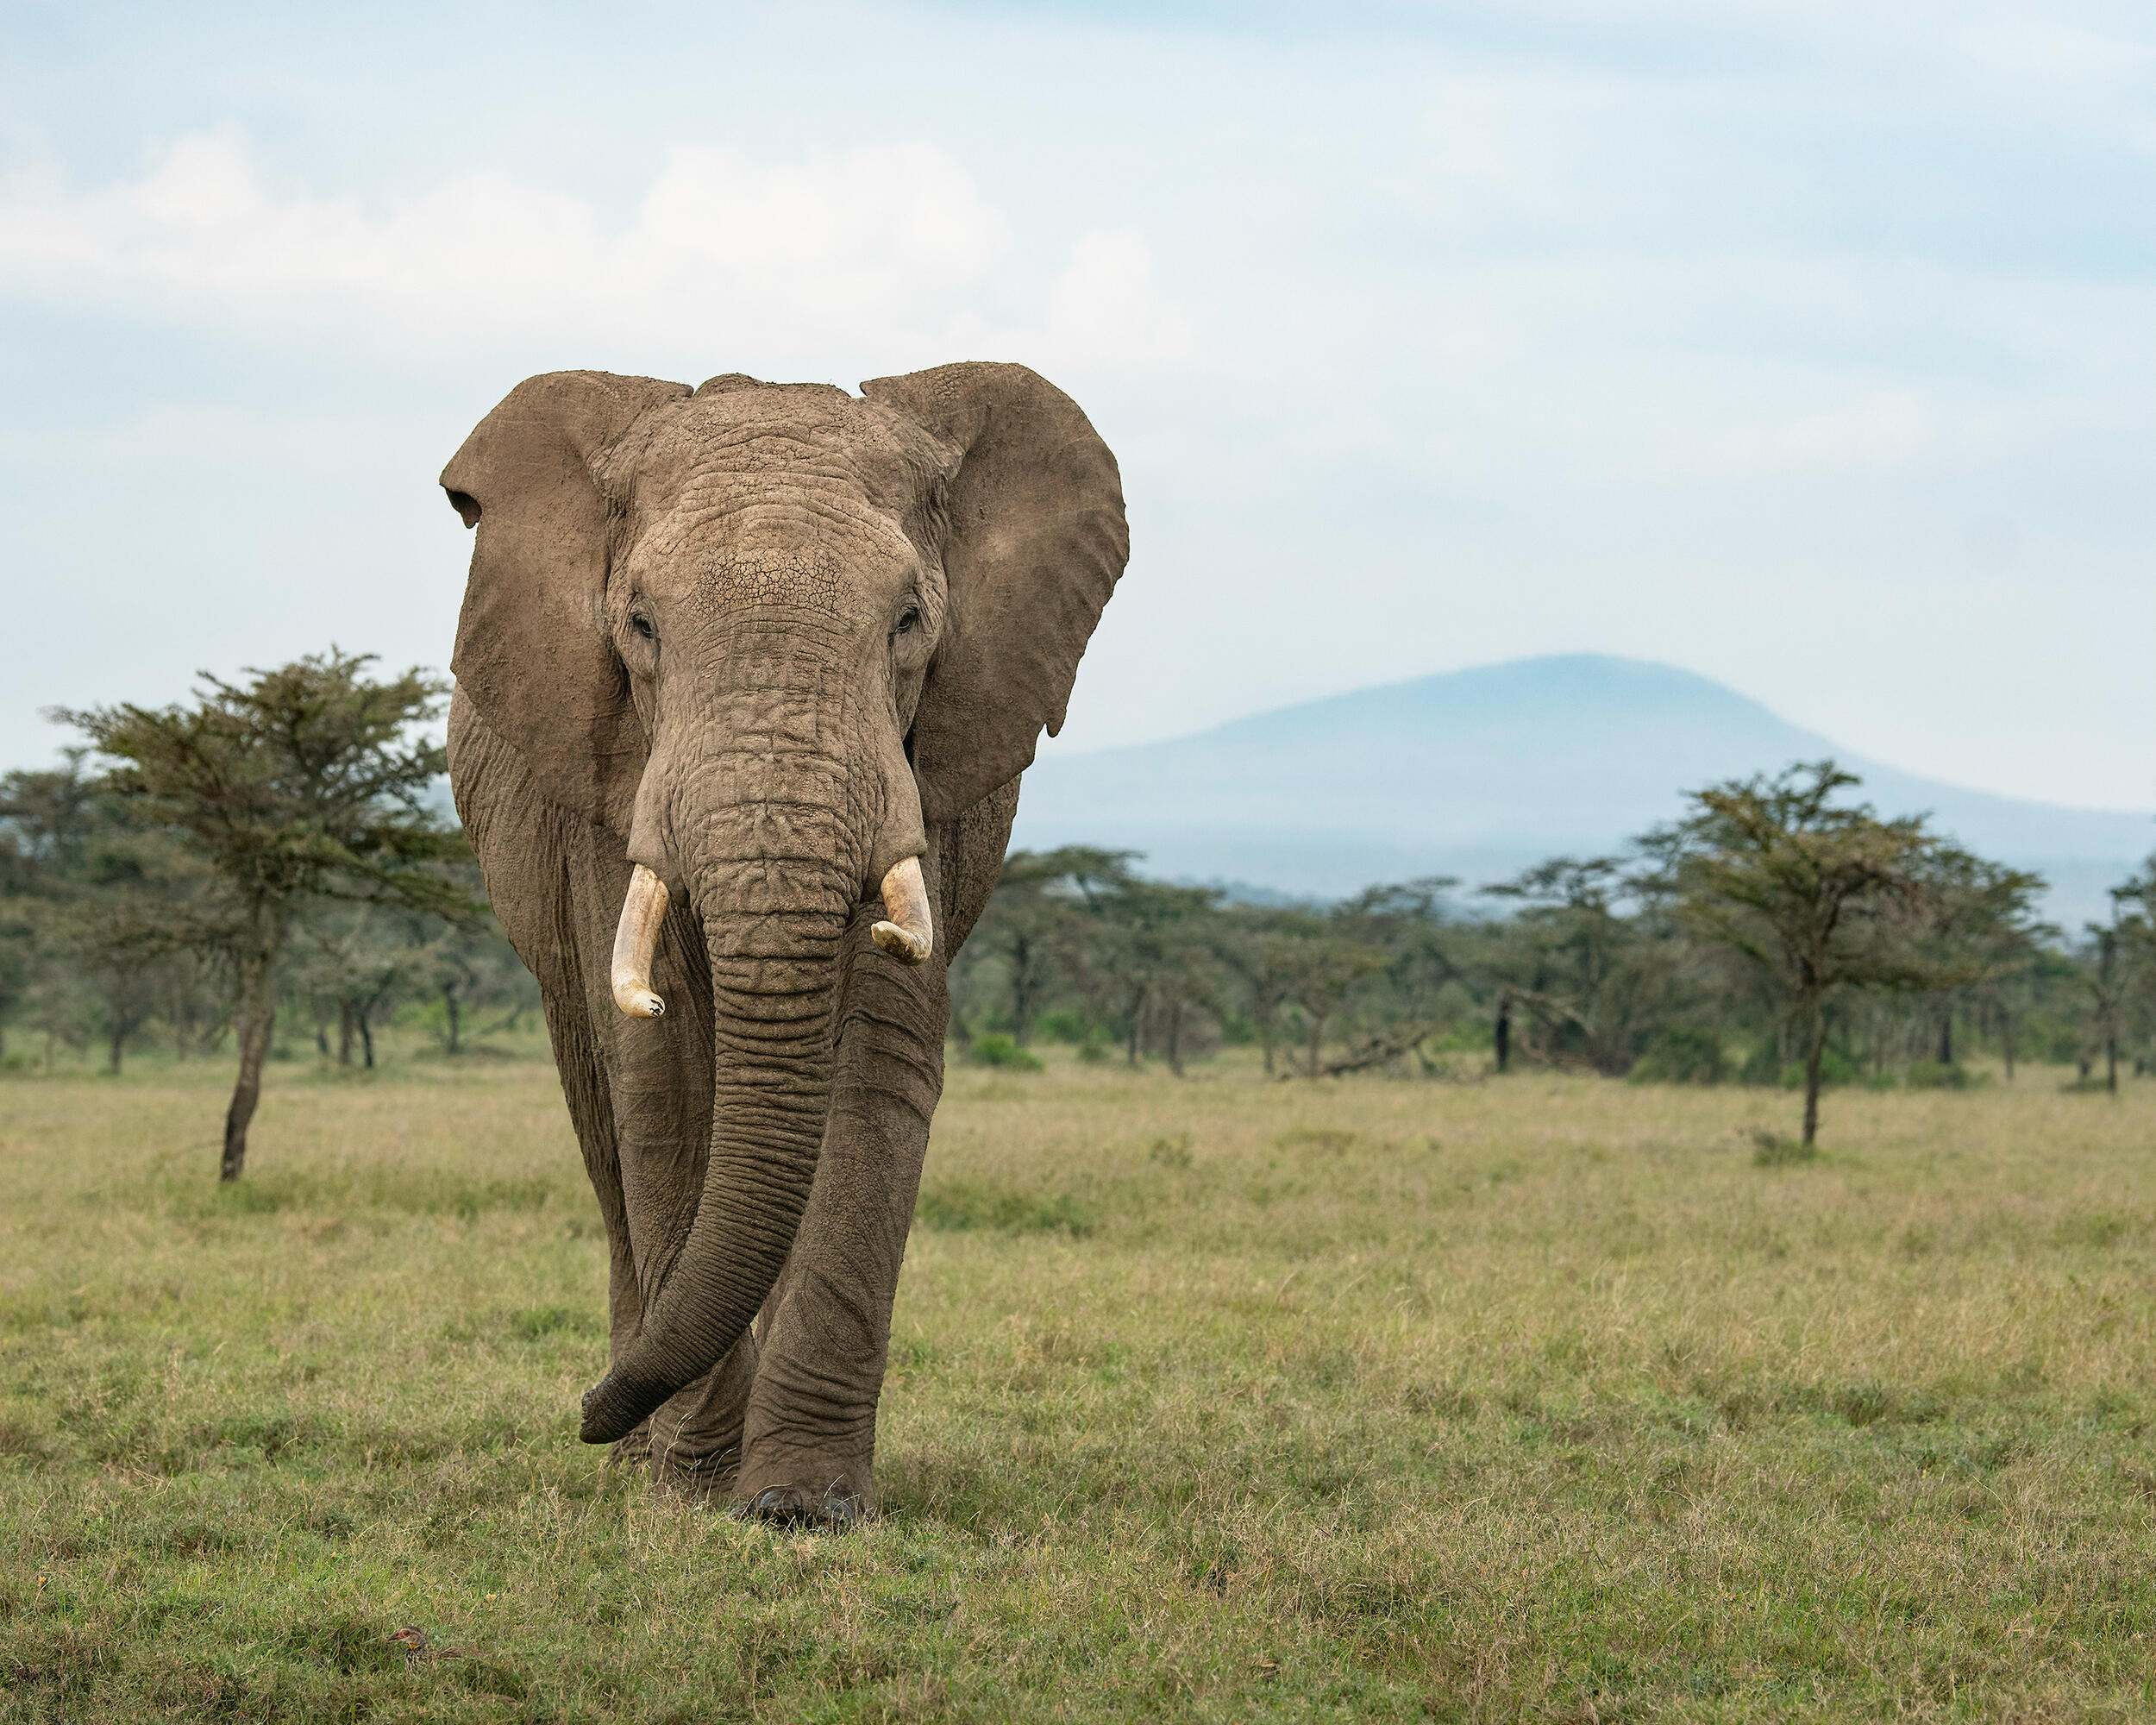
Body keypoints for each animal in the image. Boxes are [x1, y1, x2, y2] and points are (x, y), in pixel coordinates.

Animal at [437, 360, 1130, 1527]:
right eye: (639, 625)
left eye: (909, 621)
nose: (585, 1412)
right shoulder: (607, 772)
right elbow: (663, 1076)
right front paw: (691, 1486)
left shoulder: (923, 768)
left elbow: (874, 1060)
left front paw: (800, 1504)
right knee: (598, 1101)